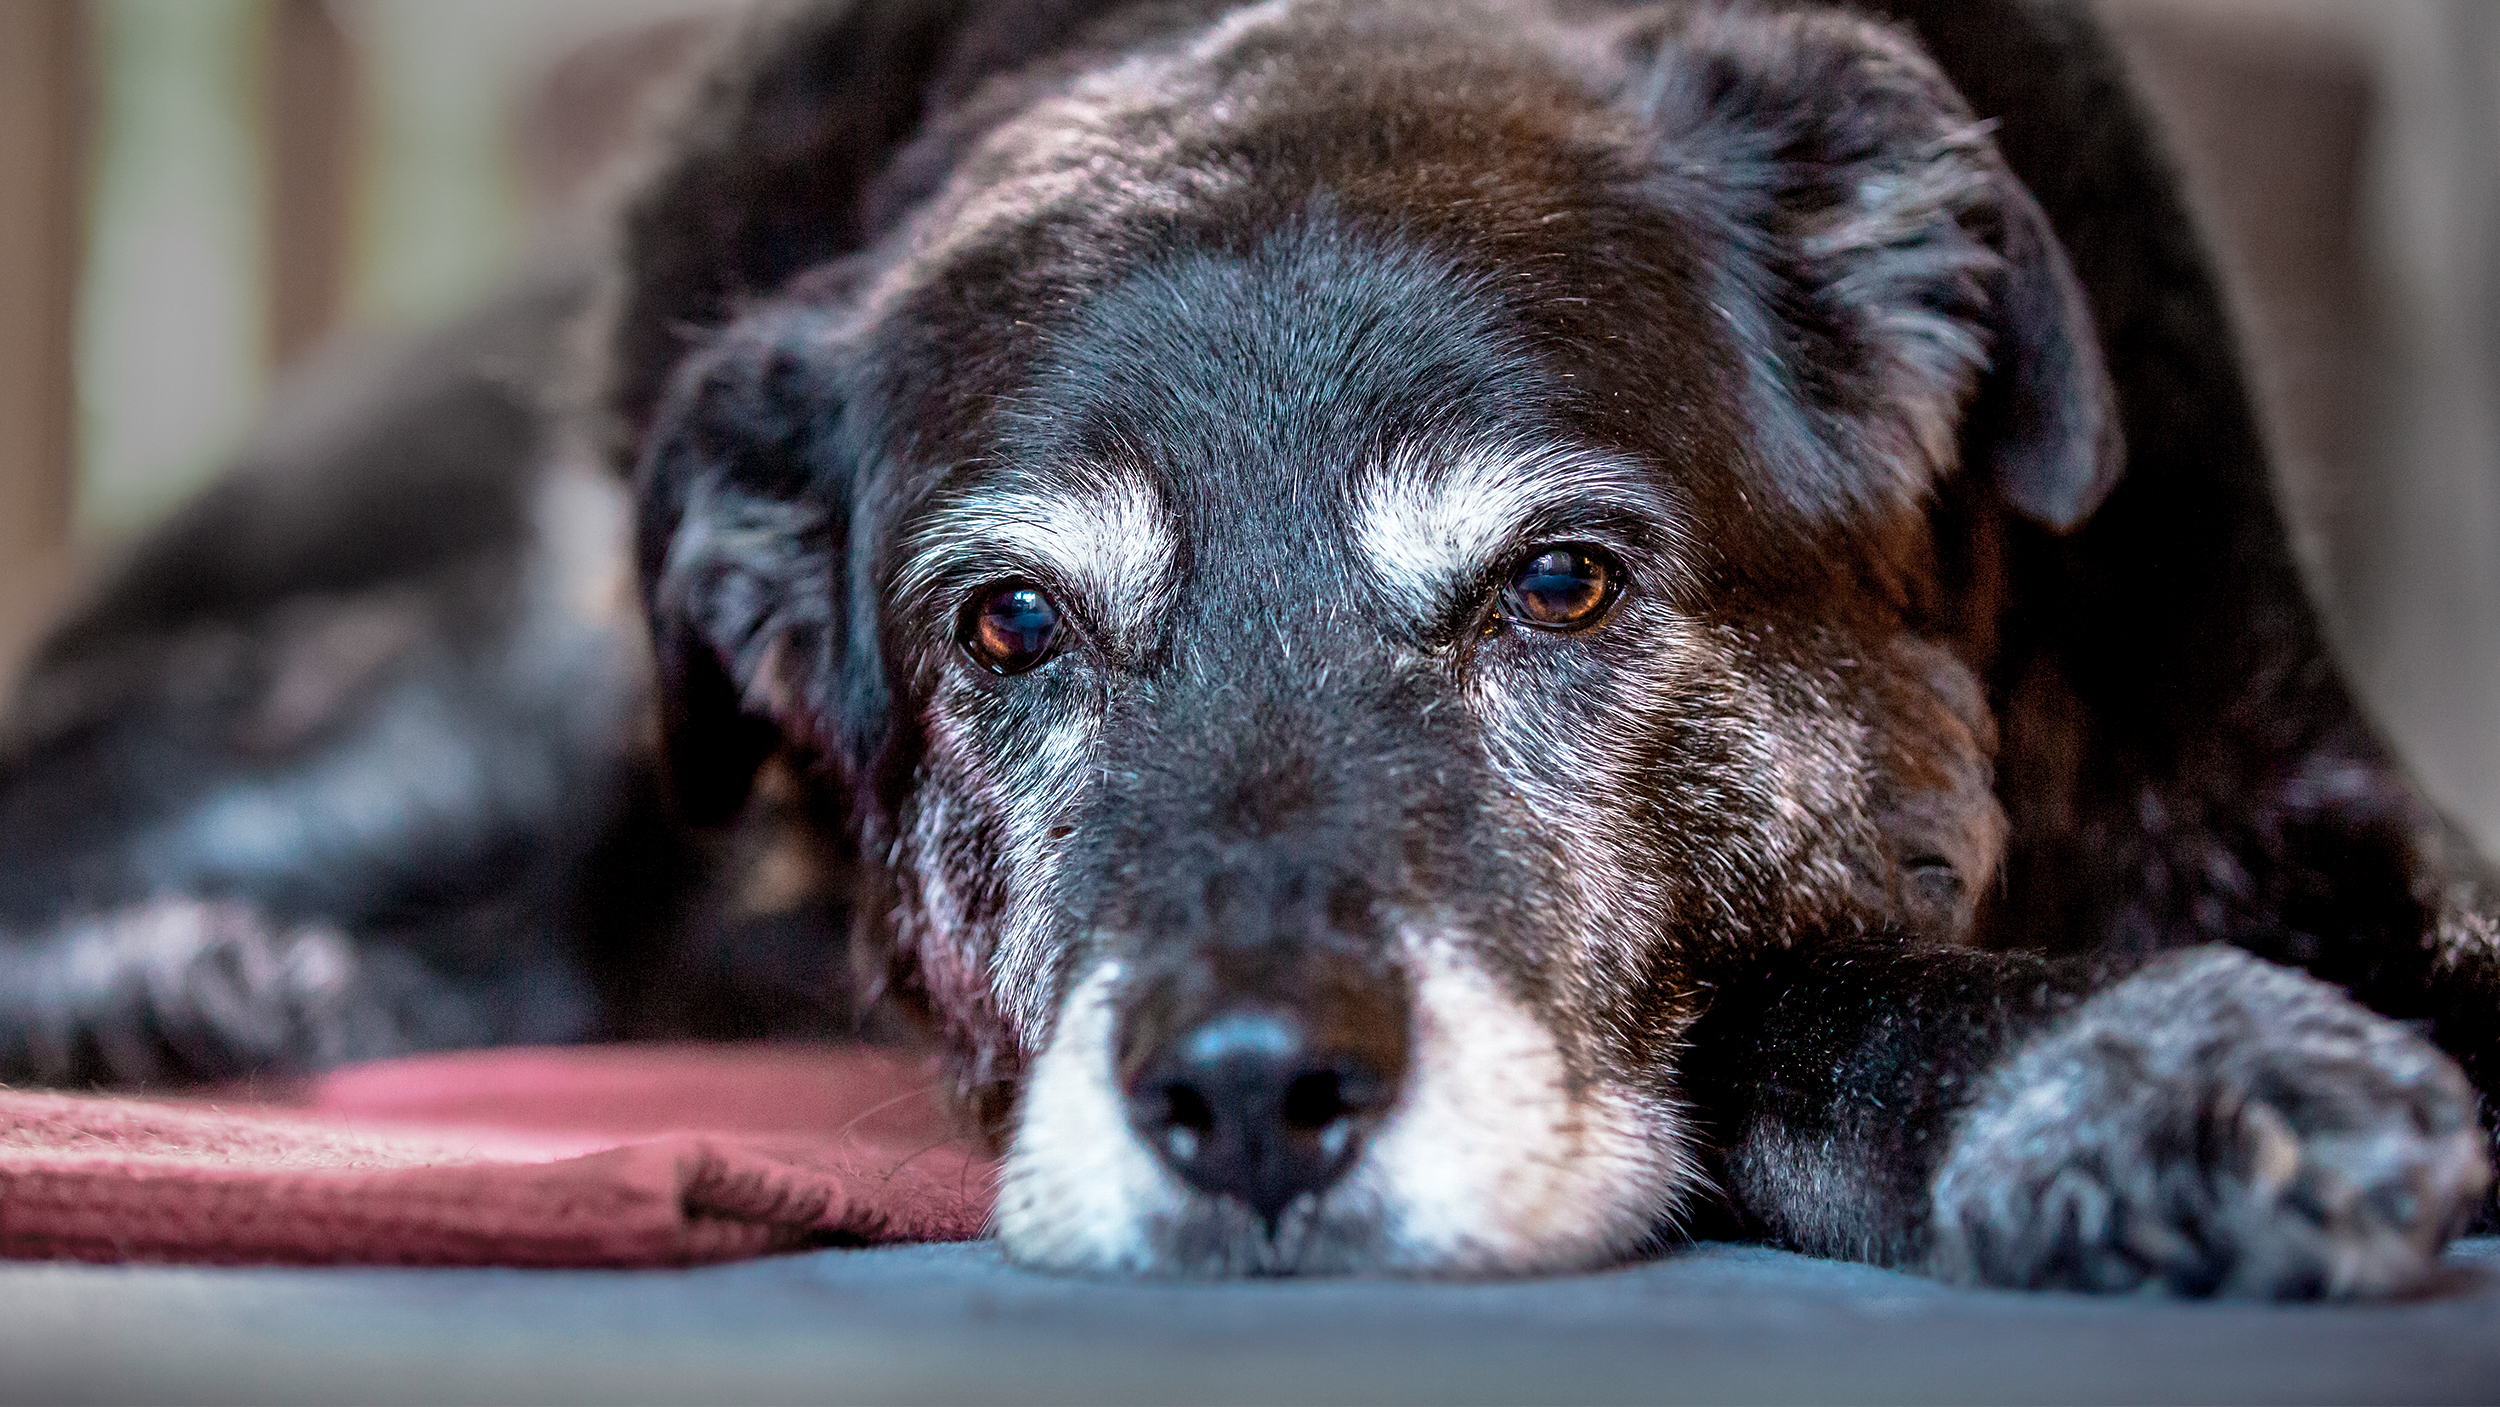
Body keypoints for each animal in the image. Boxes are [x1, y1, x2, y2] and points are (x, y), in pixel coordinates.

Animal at [4, 0, 2500, 1299]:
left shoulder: (2298, 790)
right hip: (496, 692)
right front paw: (2141, 1064)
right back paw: (181, 983)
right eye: (1010, 621)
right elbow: (1791, 984)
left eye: (1558, 582)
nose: (1240, 1103)